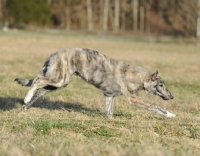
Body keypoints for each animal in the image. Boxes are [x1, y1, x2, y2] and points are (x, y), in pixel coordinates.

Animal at [14, 48, 176, 117]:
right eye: (161, 85)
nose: (172, 97)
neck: (136, 76)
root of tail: (53, 55)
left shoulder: (109, 96)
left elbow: (109, 113)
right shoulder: (134, 99)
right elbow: (154, 106)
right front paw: (170, 114)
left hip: (60, 83)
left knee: (40, 90)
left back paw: (26, 107)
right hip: (59, 80)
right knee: (37, 79)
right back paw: (27, 98)